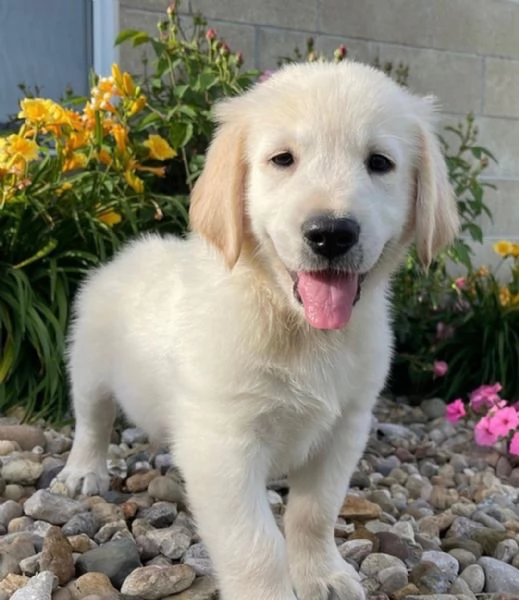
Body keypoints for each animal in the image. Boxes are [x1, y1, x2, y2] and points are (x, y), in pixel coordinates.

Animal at [59, 62, 462, 600]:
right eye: (282, 159)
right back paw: (82, 473)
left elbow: (314, 514)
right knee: (92, 421)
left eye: (380, 163)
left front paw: (324, 575)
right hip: (88, 365)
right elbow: (254, 543)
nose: (331, 233)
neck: (298, 327)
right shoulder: (224, 441)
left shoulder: (344, 429)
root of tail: (130, 251)